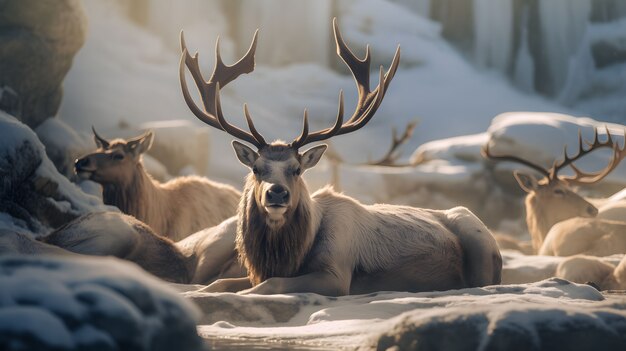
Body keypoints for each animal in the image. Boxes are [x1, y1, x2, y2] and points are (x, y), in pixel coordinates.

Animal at [178, 17, 500, 296]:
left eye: (296, 169)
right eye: (257, 168)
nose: (277, 193)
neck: (288, 257)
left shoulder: (336, 274)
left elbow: (270, 285)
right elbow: (218, 283)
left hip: (479, 241)